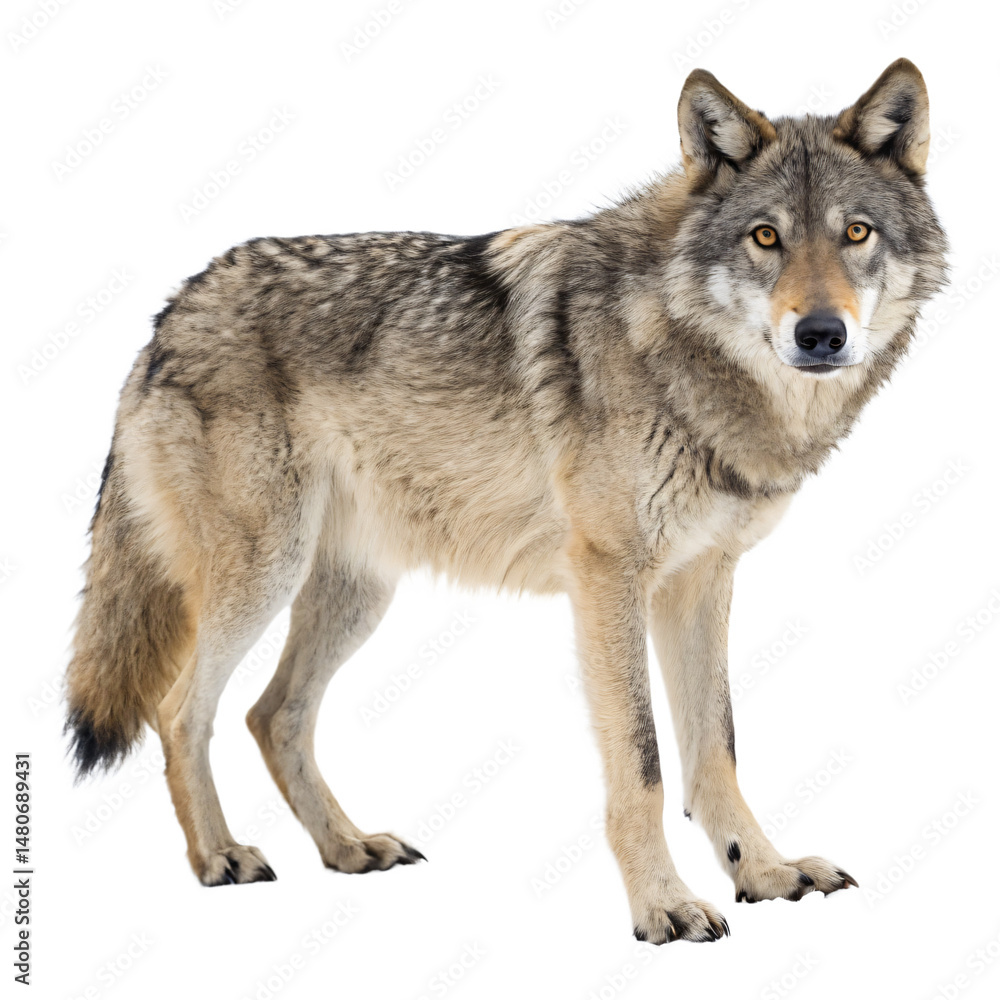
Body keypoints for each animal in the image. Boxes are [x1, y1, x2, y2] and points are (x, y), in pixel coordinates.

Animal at [66, 58, 947, 943]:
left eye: (856, 233)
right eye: (766, 237)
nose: (822, 334)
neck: (680, 348)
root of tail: (171, 309)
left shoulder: (702, 579)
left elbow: (716, 750)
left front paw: (762, 871)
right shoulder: (610, 578)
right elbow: (644, 762)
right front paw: (662, 905)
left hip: (356, 593)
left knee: (271, 715)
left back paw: (348, 846)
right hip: (265, 574)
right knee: (179, 710)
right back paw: (220, 856)